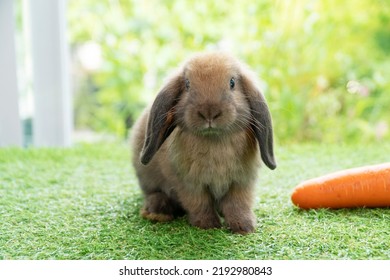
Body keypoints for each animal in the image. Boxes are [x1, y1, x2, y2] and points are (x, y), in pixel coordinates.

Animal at [132, 52, 278, 234]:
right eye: (187, 84)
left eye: (232, 83)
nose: (209, 112)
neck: (214, 139)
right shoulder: (189, 184)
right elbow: (199, 203)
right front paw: (208, 226)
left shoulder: (242, 181)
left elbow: (238, 204)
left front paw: (244, 227)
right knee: (154, 194)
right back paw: (158, 212)